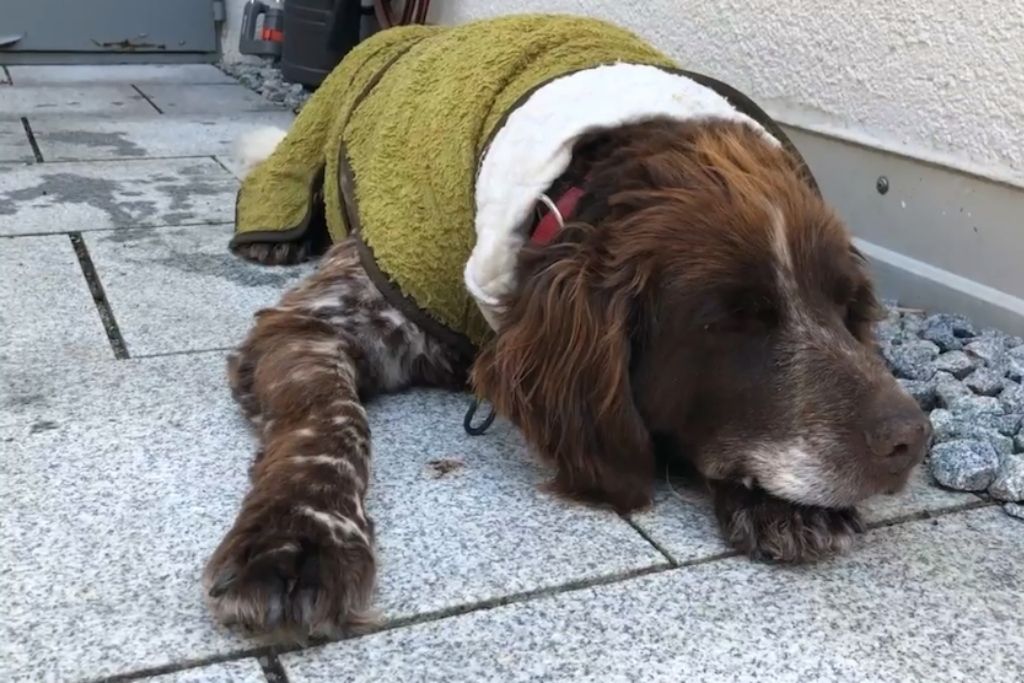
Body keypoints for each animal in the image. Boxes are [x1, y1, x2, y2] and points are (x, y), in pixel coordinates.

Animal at [203, 18, 933, 643]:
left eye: (847, 307)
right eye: (730, 321)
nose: (913, 439)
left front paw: (786, 505)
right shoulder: (317, 320)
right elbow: (328, 420)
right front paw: (299, 537)